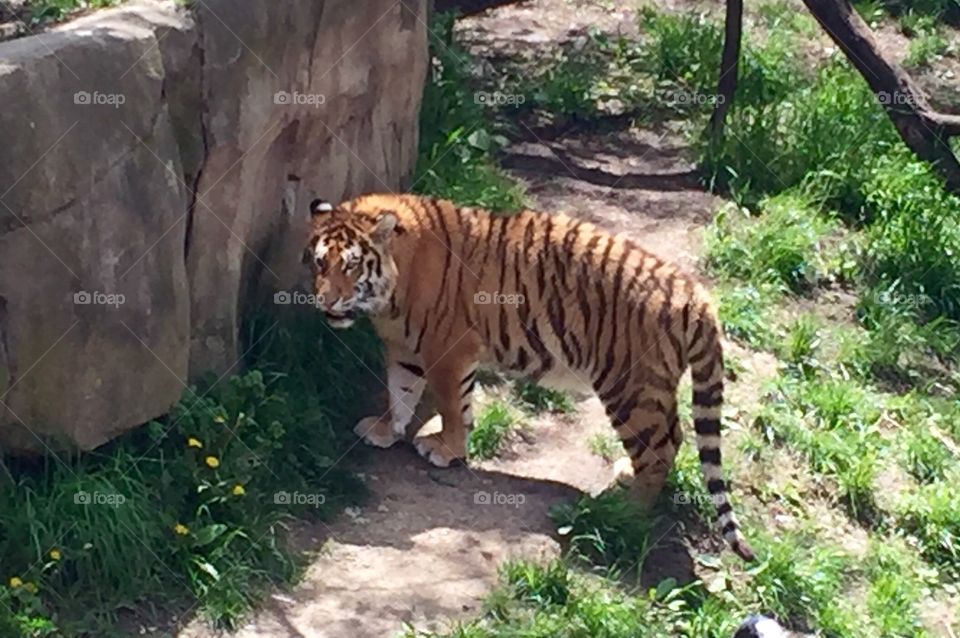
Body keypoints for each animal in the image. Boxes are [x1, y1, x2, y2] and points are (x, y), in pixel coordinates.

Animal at [302, 193, 754, 561]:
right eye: (320, 262)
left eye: (352, 266)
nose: (326, 300)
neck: (393, 288)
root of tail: (696, 297)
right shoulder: (405, 348)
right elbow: (402, 392)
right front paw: (386, 431)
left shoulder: (446, 349)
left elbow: (449, 404)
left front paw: (446, 449)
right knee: (668, 440)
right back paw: (627, 478)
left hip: (629, 387)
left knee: (663, 446)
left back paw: (623, 513)